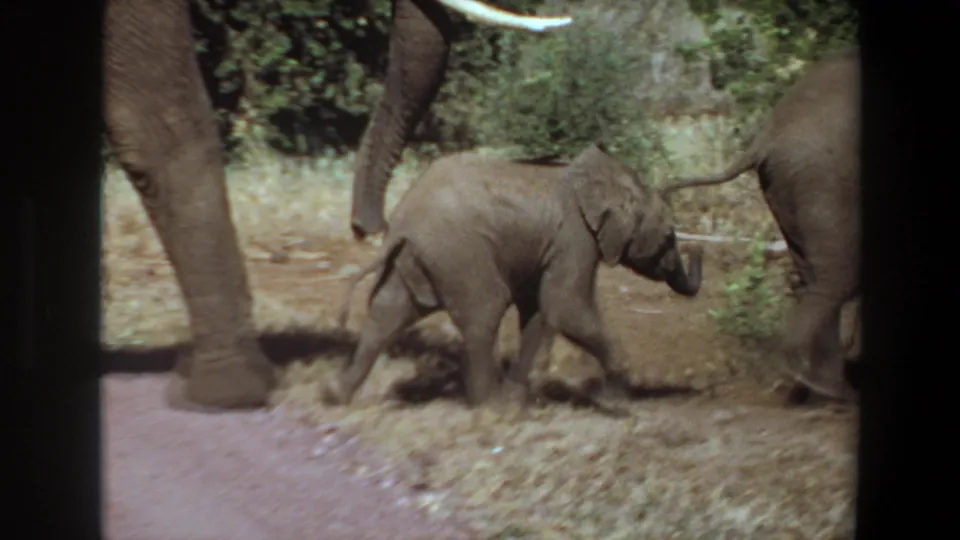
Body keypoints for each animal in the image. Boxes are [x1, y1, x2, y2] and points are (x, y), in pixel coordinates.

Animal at [323, 144, 704, 408]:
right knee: (485, 309)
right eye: (668, 236)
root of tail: (401, 223)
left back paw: (335, 395)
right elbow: (566, 305)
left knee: (387, 311)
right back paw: (494, 405)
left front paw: (525, 393)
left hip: (417, 258)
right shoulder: (575, 237)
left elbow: (538, 308)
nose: (695, 250)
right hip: (459, 252)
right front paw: (618, 397)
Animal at [660, 47, 861, 401]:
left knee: (815, 274)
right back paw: (828, 389)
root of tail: (766, 136)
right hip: (823, 180)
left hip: (788, 183)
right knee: (836, 277)